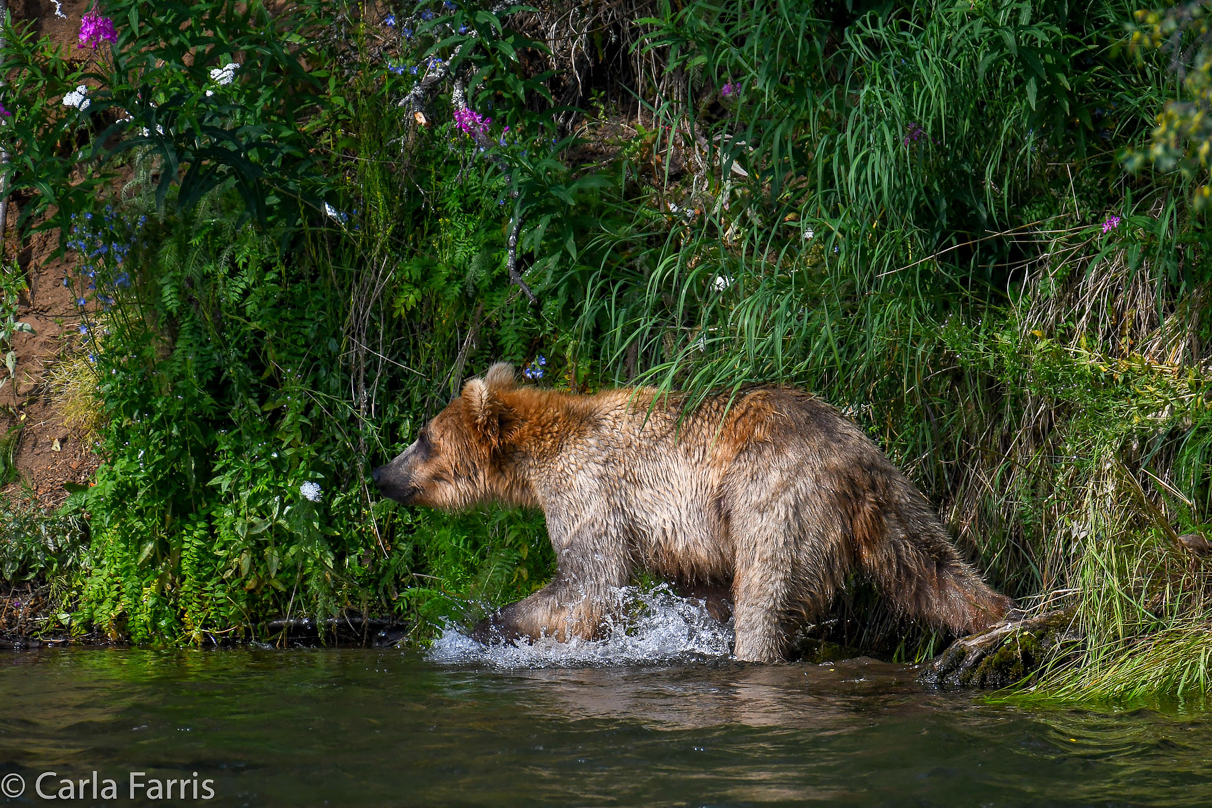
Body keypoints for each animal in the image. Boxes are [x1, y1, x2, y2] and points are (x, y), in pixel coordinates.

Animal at [370, 363, 1013, 658]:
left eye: (423, 437)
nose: (379, 474)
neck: (535, 461)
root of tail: (845, 459)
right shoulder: (686, 537)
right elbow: (700, 591)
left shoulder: (590, 490)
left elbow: (587, 582)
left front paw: (478, 627)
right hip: (892, 495)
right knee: (932, 567)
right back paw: (1000, 616)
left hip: (772, 500)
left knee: (767, 594)